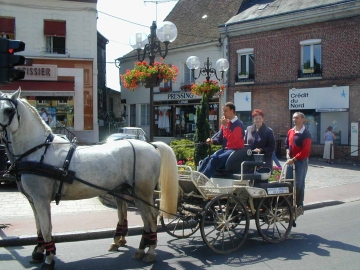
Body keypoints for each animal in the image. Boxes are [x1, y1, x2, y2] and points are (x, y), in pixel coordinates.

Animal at [0, 89, 179, 268]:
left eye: (8, 110)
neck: (37, 150)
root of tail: (151, 145)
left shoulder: (41, 199)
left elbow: (46, 228)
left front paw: (49, 259)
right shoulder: (33, 200)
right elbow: (38, 227)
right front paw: (38, 252)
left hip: (142, 192)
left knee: (151, 218)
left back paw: (150, 251)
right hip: (130, 191)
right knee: (143, 218)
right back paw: (141, 249)